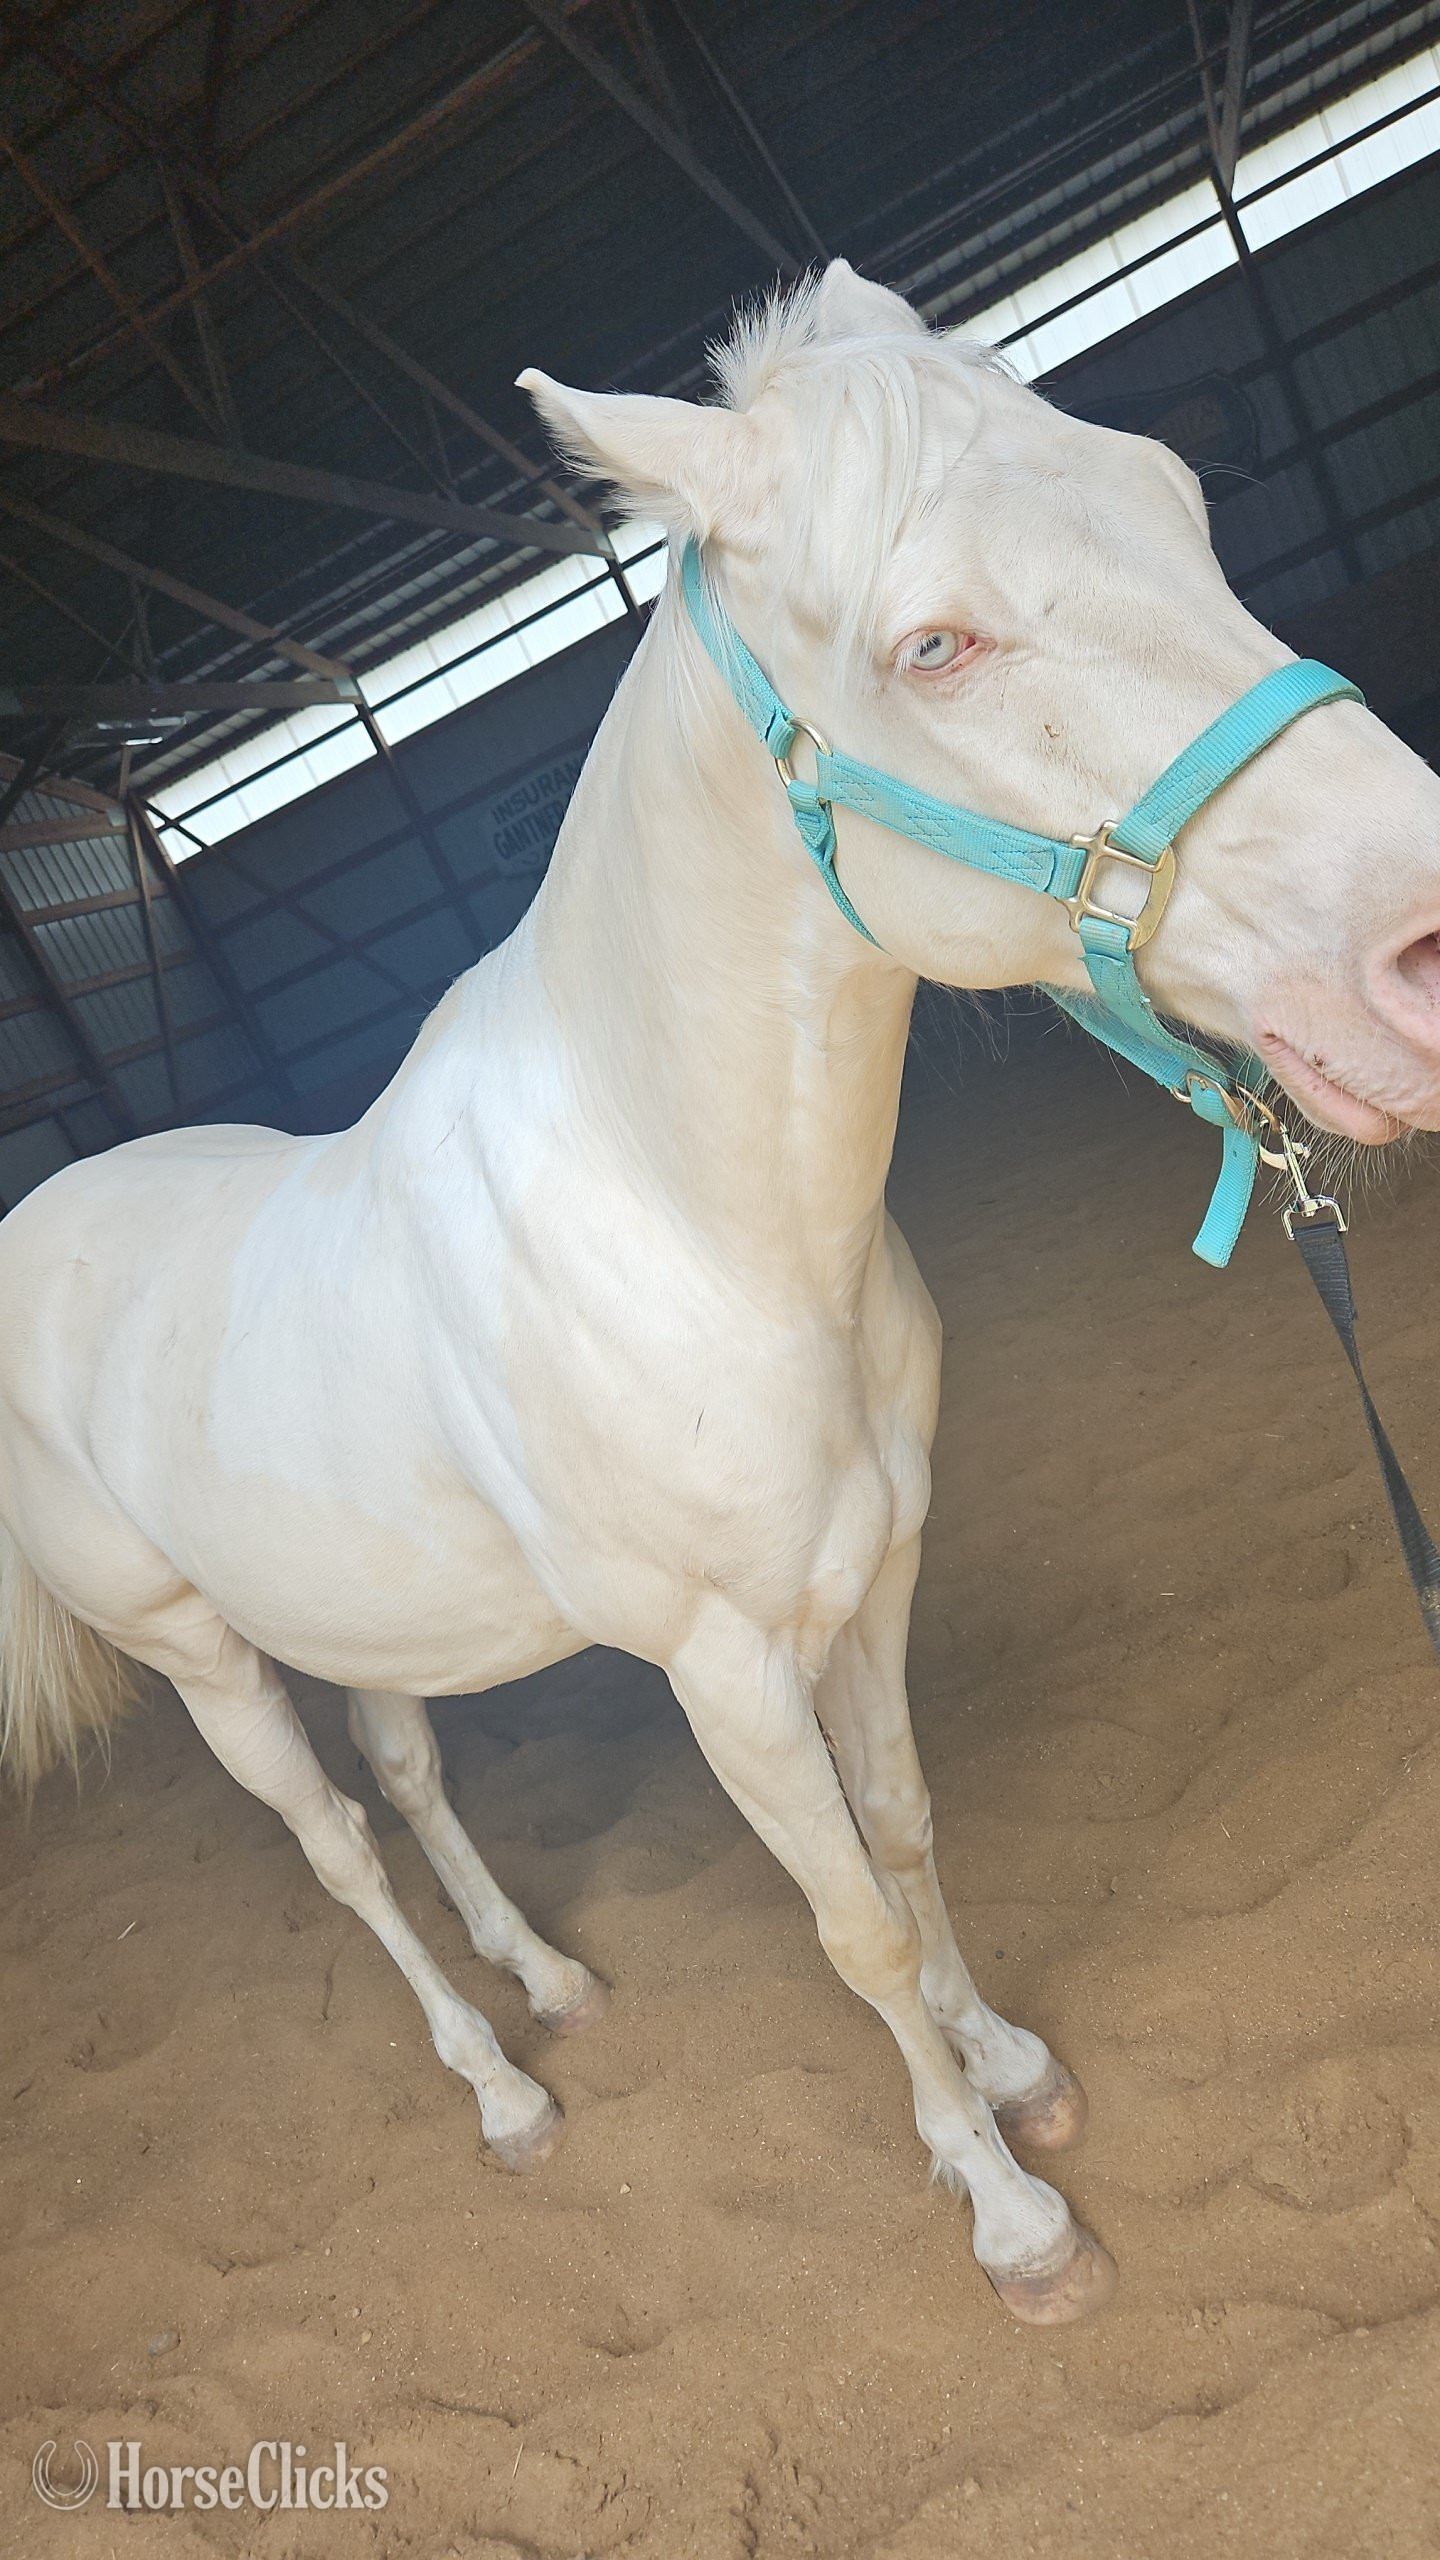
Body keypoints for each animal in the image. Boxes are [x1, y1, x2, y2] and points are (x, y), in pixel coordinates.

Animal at [3, 262, 1439, 2328]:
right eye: (935, 644)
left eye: (1175, 495)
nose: (1419, 950)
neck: (684, 1219)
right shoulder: (723, 1666)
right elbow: (847, 1922)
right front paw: (1008, 2214)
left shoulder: (878, 1562)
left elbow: (905, 1831)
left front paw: (1010, 2065)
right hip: (202, 1654)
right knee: (342, 1853)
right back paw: (504, 2093)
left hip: (358, 1615)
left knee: (411, 1780)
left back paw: (553, 1984)